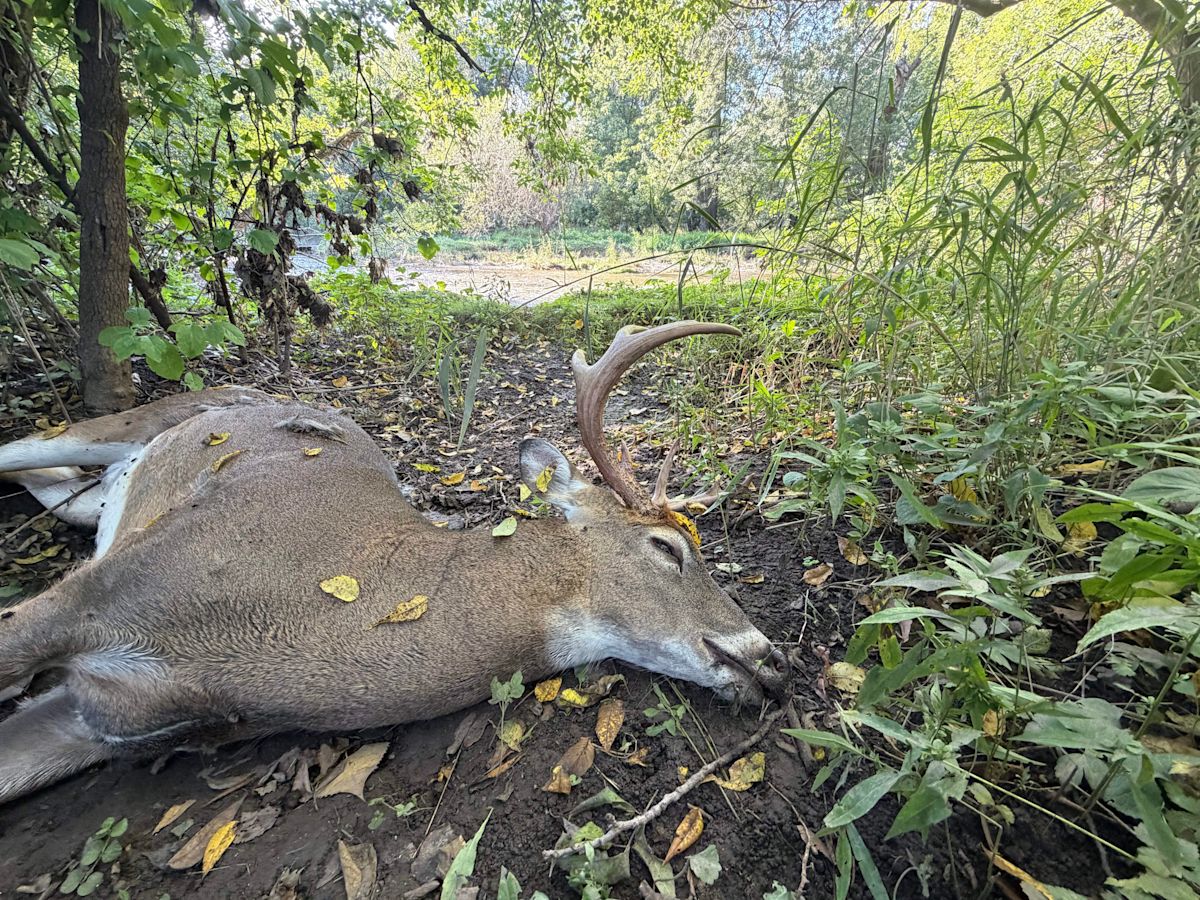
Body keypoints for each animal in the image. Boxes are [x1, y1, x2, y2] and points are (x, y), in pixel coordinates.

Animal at [0, 321, 790, 805]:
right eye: (667, 547)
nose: (774, 659)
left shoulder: (100, 716)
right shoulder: (109, 585)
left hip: (98, 500)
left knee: (60, 489)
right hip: (137, 435)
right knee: (36, 441)